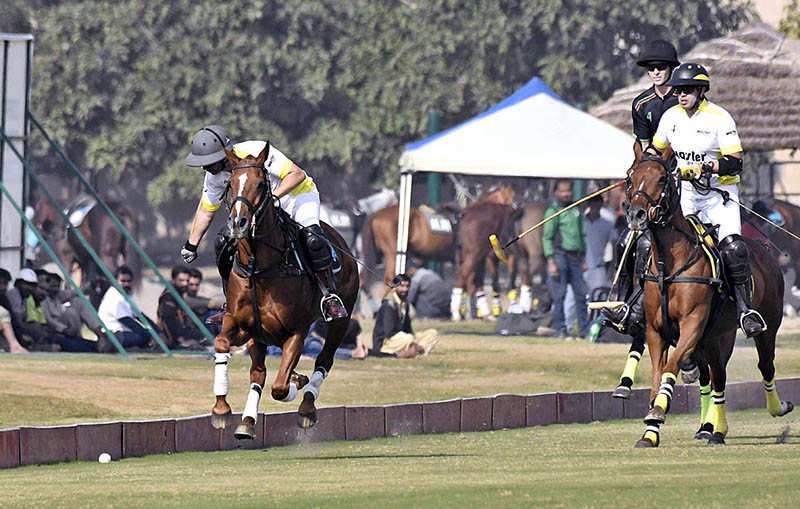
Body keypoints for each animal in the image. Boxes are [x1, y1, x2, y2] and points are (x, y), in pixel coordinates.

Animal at [211, 146, 358, 436]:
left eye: (260, 183)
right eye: (230, 184)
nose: (238, 223)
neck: (260, 268)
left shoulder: (296, 330)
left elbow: (279, 388)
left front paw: (295, 385)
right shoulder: (241, 324)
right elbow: (222, 343)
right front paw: (221, 409)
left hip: (341, 319)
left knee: (324, 359)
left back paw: (307, 404)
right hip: (261, 335)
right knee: (259, 372)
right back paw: (248, 421)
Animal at [624, 143, 792, 444]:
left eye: (662, 178)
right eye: (631, 177)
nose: (637, 215)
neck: (671, 263)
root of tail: (764, 250)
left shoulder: (692, 323)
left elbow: (671, 368)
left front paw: (657, 414)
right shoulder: (656, 330)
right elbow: (658, 375)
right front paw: (650, 432)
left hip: (766, 326)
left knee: (764, 366)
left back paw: (776, 409)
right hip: (714, 337)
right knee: (716, 377)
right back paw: (713, 429)